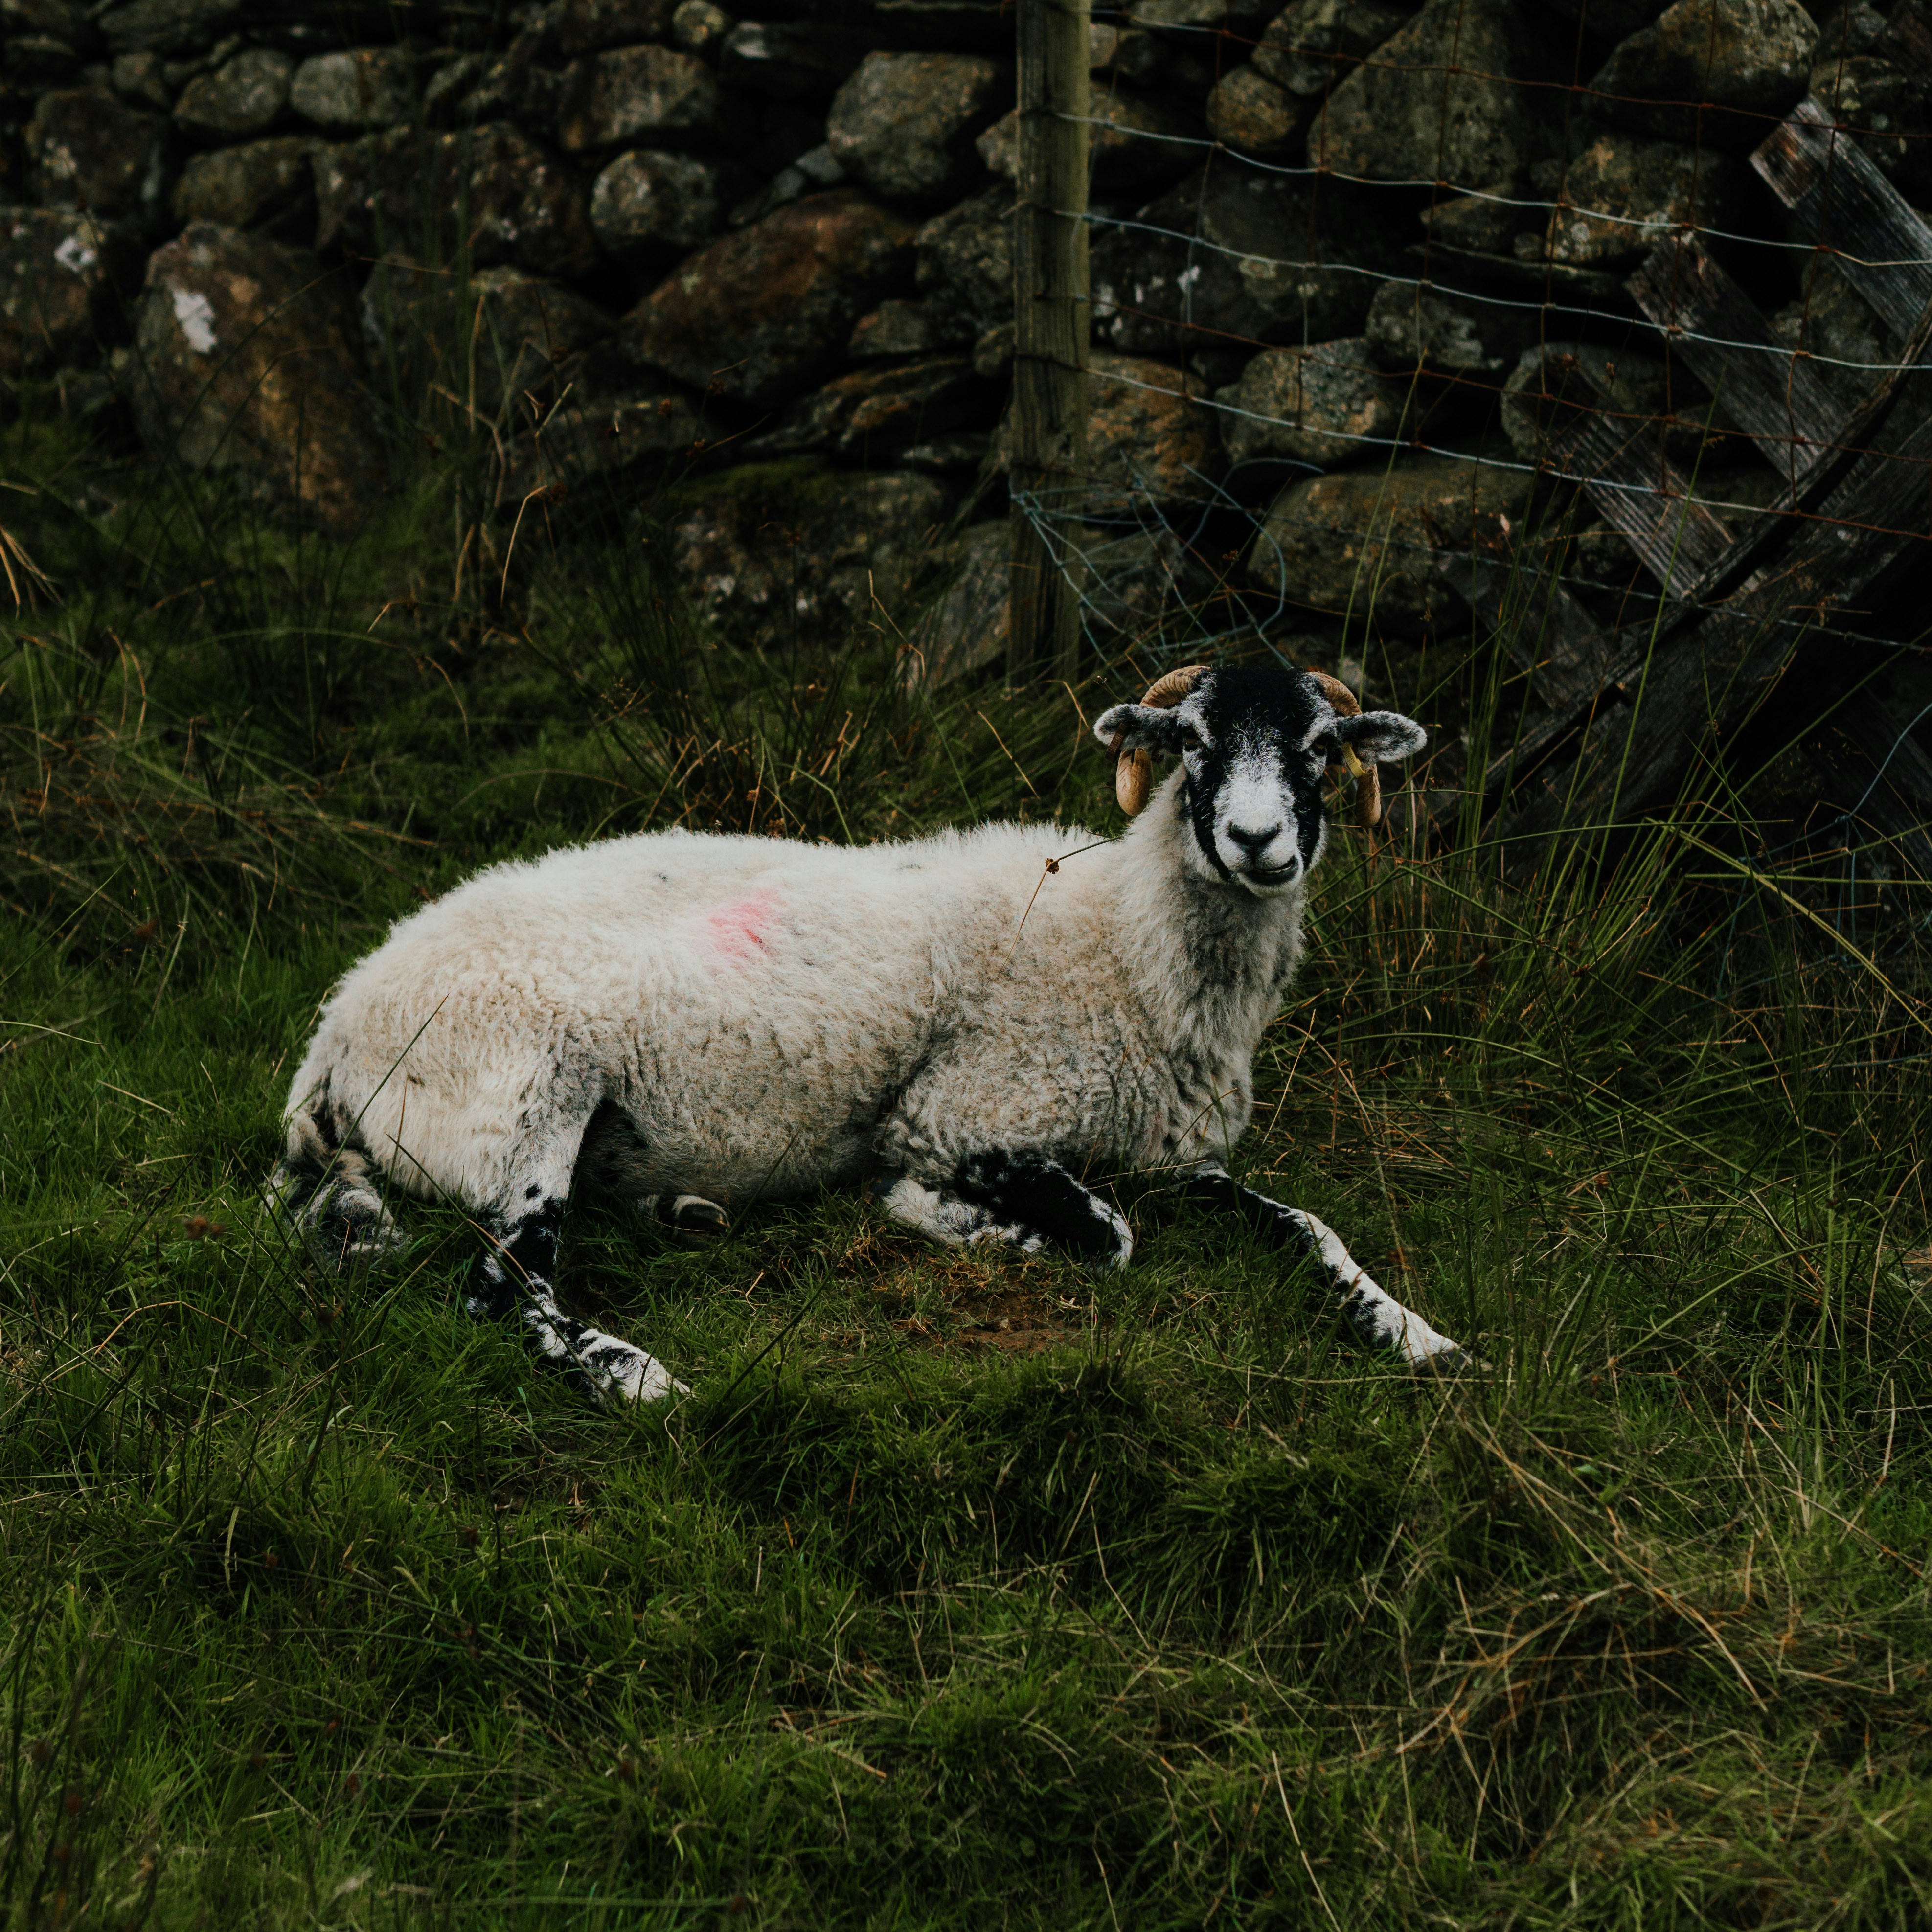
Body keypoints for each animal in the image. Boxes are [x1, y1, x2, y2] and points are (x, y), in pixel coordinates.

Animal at [270, 662, 1474, 1404]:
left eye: (1318, 744)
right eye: (1192, 741)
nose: (1258, 840)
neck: (1121, 944)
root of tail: (337, 1027)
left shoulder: (1181, 1156)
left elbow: (1311, 1226)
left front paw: (1414, 1332)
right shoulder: (961, 1113)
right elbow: (1107, 1233)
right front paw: (947, 1217)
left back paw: (683, 1210)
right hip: (526, 1097)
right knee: (497, 1289)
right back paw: (635, 1374)